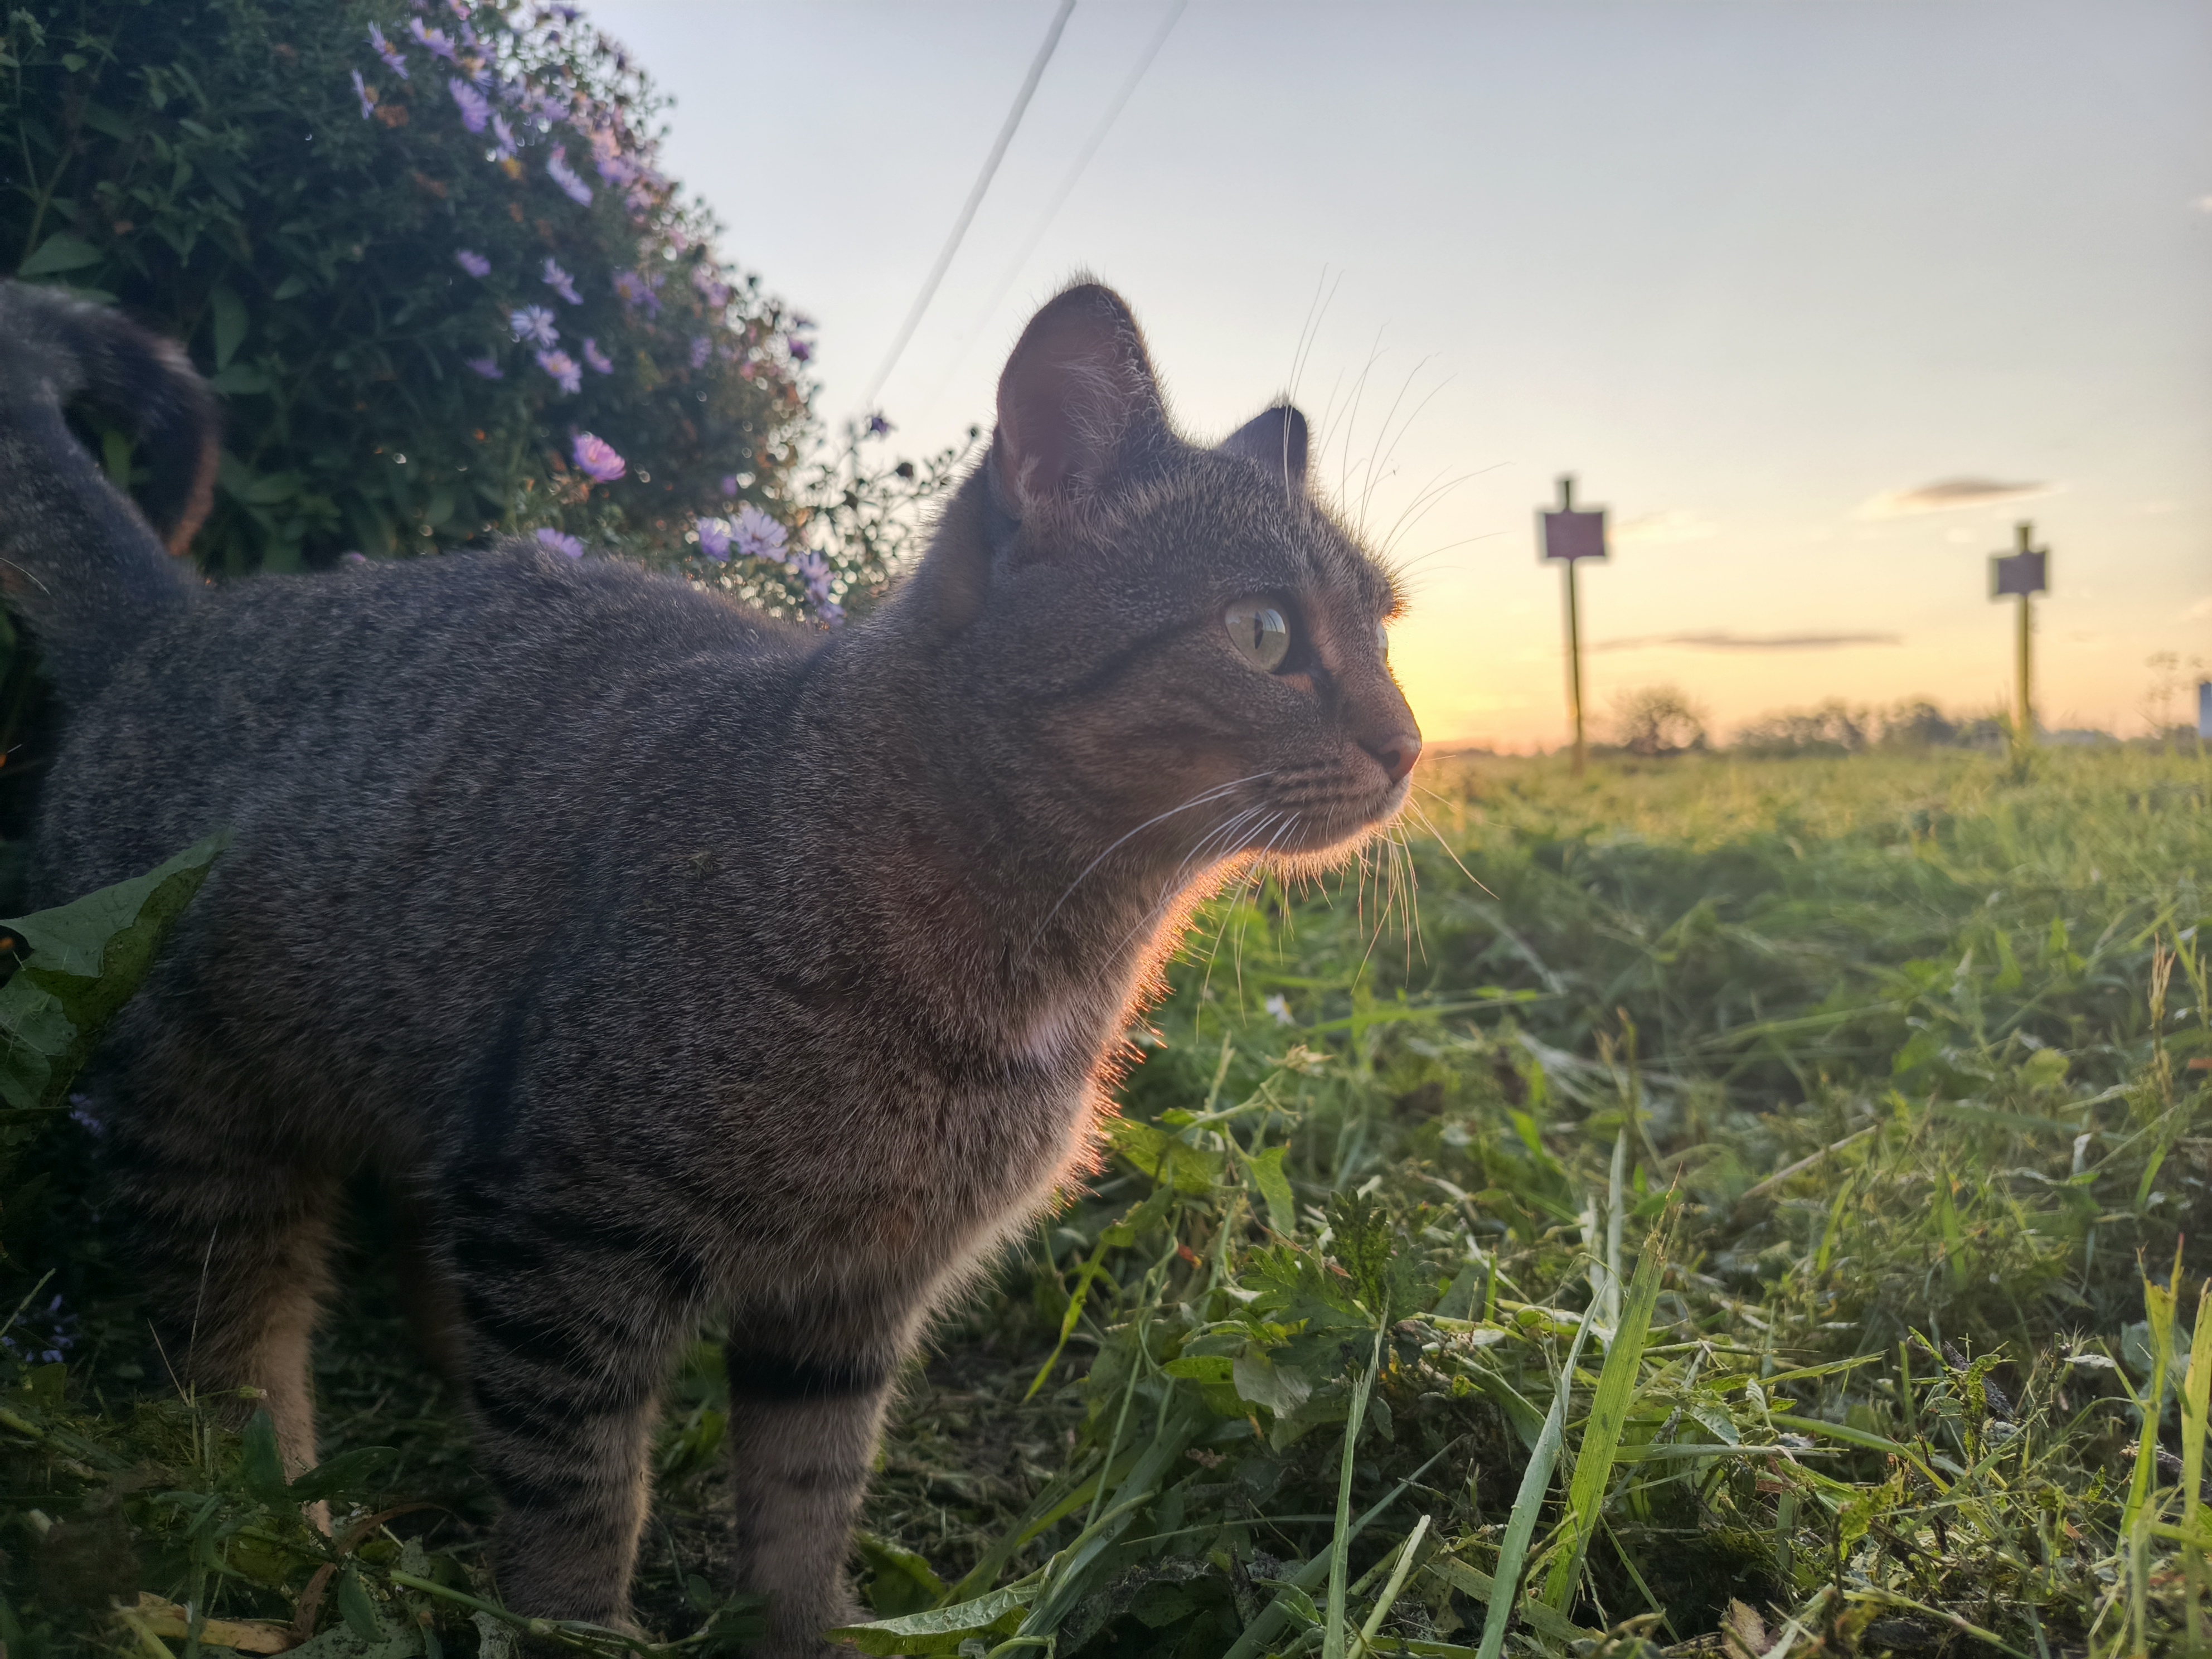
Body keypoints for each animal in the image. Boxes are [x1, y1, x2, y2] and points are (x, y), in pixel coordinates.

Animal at [0, 276, 1419, 1654]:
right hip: (206, 1123)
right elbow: (579, 1486)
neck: (1034, 966)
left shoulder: (852, 1303)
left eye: (1387, 630)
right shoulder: (572, 1231)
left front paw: (803, 1632)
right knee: (228, 1369)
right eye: (1261, 631)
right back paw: (289, 1533)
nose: (1411, 743)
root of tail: (174, 623)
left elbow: (806, 1499)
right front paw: (575, 1628)